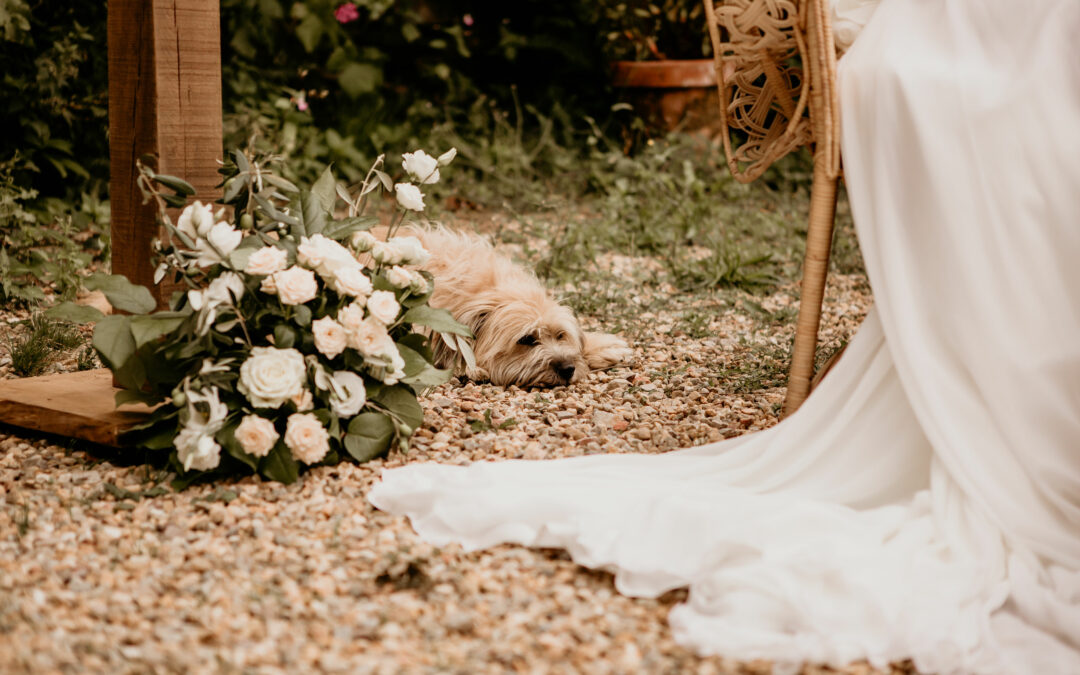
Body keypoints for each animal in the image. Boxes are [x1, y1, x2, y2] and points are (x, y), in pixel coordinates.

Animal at [397, 226, 630, 386]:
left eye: (560, 335)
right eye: (526, 339)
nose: (567, 369)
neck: (480, 291)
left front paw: (602, 345)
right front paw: (472, 368)